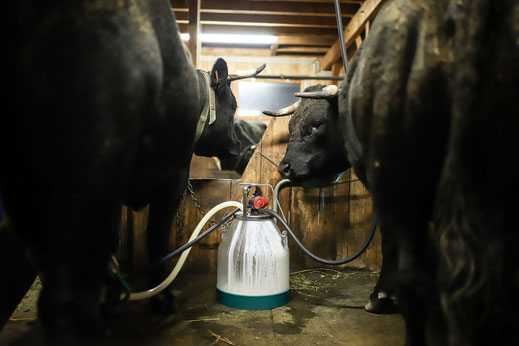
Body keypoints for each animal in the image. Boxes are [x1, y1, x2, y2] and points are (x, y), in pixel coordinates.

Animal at [1, 0, 264, 340]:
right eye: (233, 105)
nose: (236, 146)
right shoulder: (172, 181)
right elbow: (157, 238)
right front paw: (162, 297)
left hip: (26, 190)